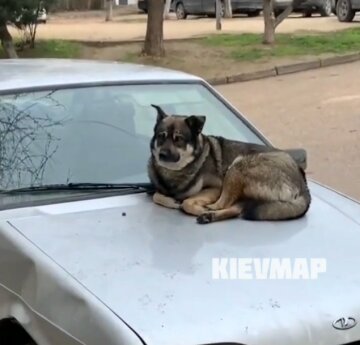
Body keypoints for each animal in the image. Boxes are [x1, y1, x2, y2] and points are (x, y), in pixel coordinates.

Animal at [148, 103, 310, 224]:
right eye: (161, 137)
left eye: (179, 139)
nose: (162, 155)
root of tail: (304, 186)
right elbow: (156, 195)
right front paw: (171, 201)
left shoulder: (216, 188)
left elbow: (187, 201)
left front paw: (189, 205)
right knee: (236, 208)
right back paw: (209, 216)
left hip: (237, 166)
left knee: (222, 204)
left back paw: (207, 211)